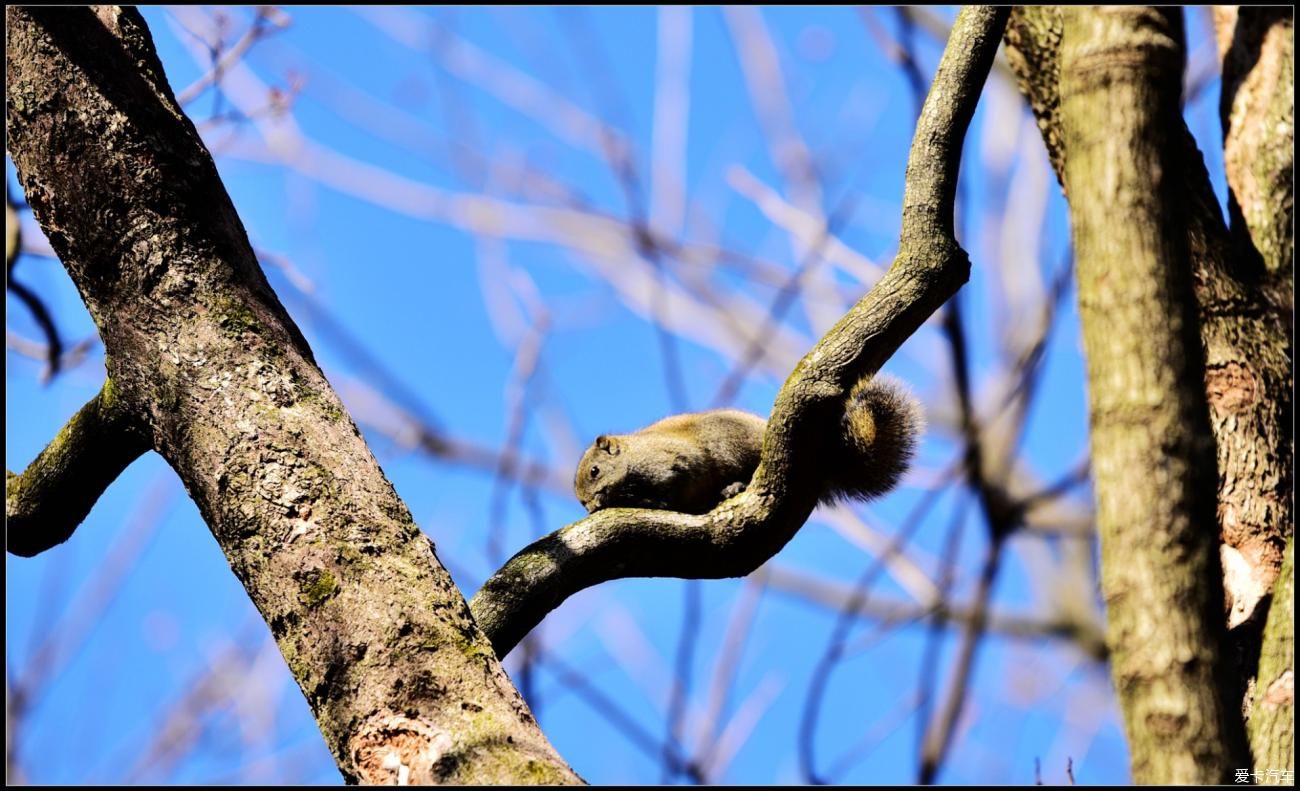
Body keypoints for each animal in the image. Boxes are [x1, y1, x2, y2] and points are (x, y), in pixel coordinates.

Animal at [572, 374, 925, 515]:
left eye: (594, 471)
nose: (590, 508)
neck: (632, 456)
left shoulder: (667, 462)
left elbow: (671, 484)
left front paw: (651, 501)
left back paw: (734, 487)